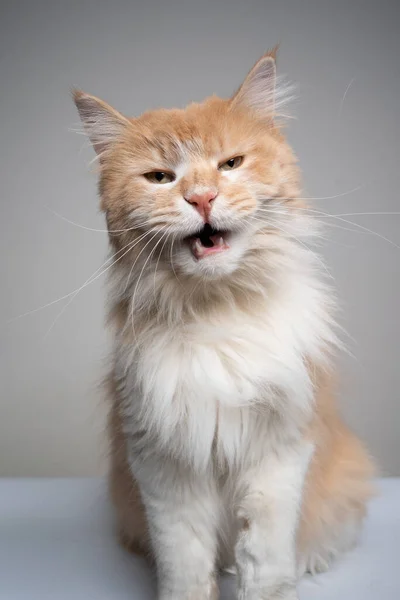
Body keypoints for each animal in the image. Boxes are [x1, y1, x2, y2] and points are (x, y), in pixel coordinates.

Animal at [72, 49, 376, 596]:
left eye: (230, 165)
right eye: (160, 178)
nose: (202, 198)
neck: (217, 312)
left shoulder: (278, 451)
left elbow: (266, 556)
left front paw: (270, 588)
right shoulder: (163, 464)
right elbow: (185, 561)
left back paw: (310, 559)